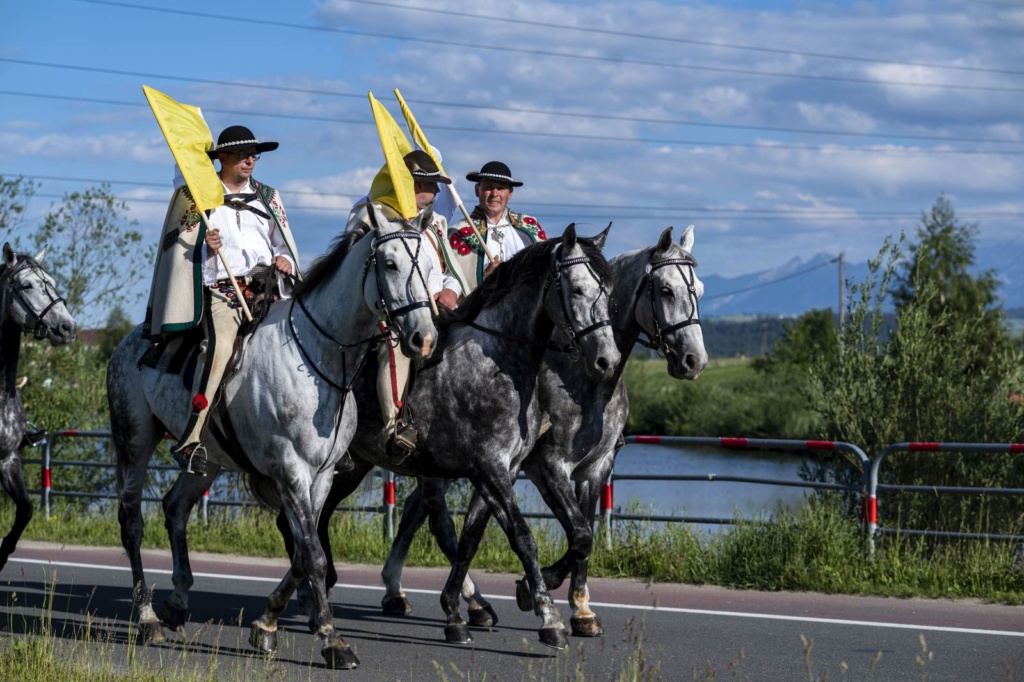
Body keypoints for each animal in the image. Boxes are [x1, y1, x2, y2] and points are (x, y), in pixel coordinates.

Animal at [107, 204, 436, 667]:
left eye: (430, 267)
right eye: (389, 264)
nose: (424, 338)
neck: (317, 355)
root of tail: (131, 341)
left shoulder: (323, 475)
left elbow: (303, 551)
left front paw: (266, 625)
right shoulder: (290, 470)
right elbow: (313, 555)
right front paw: (333, 640)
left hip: (207, 460)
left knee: (175, 508)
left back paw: (177, 603)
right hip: (133, 442)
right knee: (133, 523)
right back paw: (148, 618)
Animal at [278, 224, 614, 647]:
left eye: (609, 292)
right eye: (578, 289)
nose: (607, 360)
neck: (496, 360)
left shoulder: (501, 471)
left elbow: (472, 539)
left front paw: (458, 611)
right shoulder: (492, 467)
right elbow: (522, 537)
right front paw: (545, 614)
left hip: (349, 467)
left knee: (310, 521)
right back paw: (312, 595)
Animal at [348, 224, 708, 638]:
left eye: (698, 290)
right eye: (666, 290)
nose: (695, 360)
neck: (584, 382)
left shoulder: (594, 468)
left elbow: (582, 533)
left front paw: (580, 609)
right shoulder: (545, 466)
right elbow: (577, 533)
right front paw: (537, 591)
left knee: (419, 514)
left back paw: (415, 593)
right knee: (432, 519)